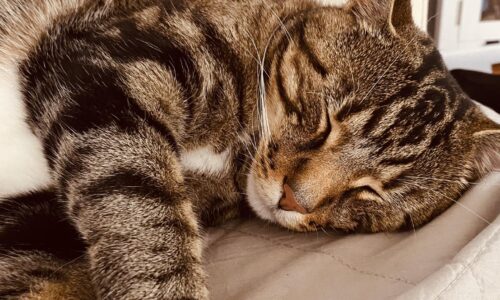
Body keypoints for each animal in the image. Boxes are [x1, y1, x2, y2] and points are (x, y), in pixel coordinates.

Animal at [0, 0, 498, 298]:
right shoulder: (106, 62)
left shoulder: (40, 223)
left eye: (371, 191)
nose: (292, 199)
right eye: (327, 121)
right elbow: (146, 221)